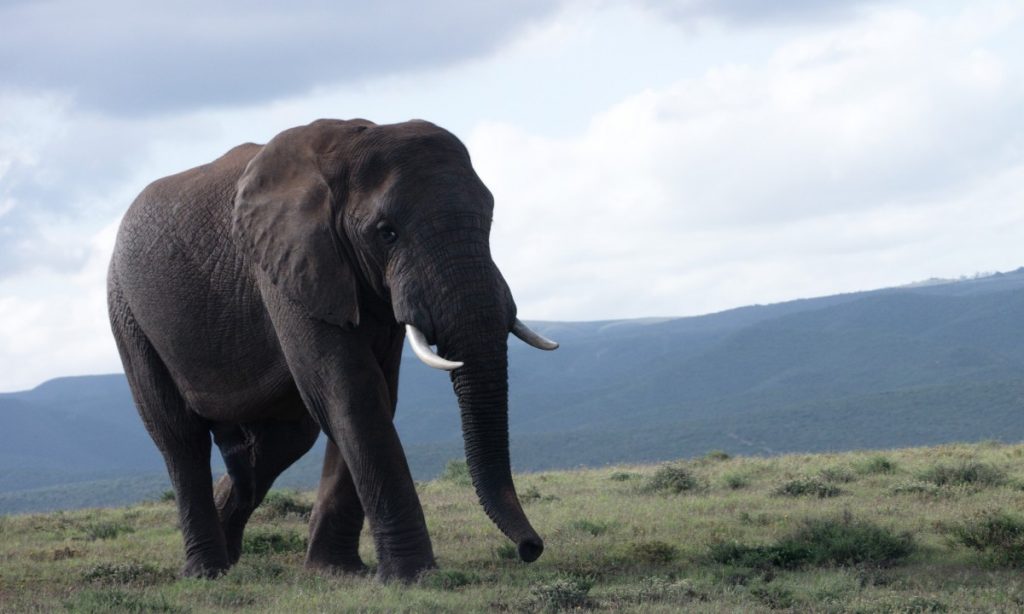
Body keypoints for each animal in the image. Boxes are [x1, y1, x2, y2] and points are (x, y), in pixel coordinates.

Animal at [107, 118, 557, 581]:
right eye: (386, 232)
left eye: (489, 220)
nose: (530, 548)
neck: (350, 144)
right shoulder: (290, 263)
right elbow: (350, 390)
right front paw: (413, 577)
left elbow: (376, 393)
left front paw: (336, 571)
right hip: (127, 312)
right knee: (180, 438)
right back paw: (206, 573)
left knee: (278, 444)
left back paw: (230, 558)